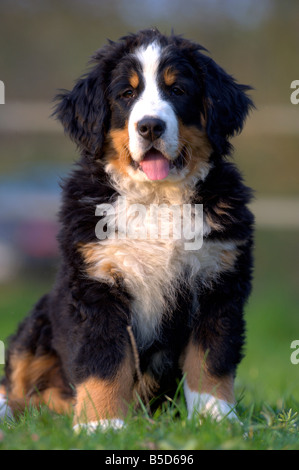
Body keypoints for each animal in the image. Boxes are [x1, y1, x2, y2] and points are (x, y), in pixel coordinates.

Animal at [0, 29, 255, 432]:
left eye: (178, 90)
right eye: (126, 94)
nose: (150, 126)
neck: (156, 197)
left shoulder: (218, 281)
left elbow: (210, 358)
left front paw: (216, 418)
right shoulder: (97, 284)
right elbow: (105, 361)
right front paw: (101, 425)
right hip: (39, 322)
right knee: (16, 384)